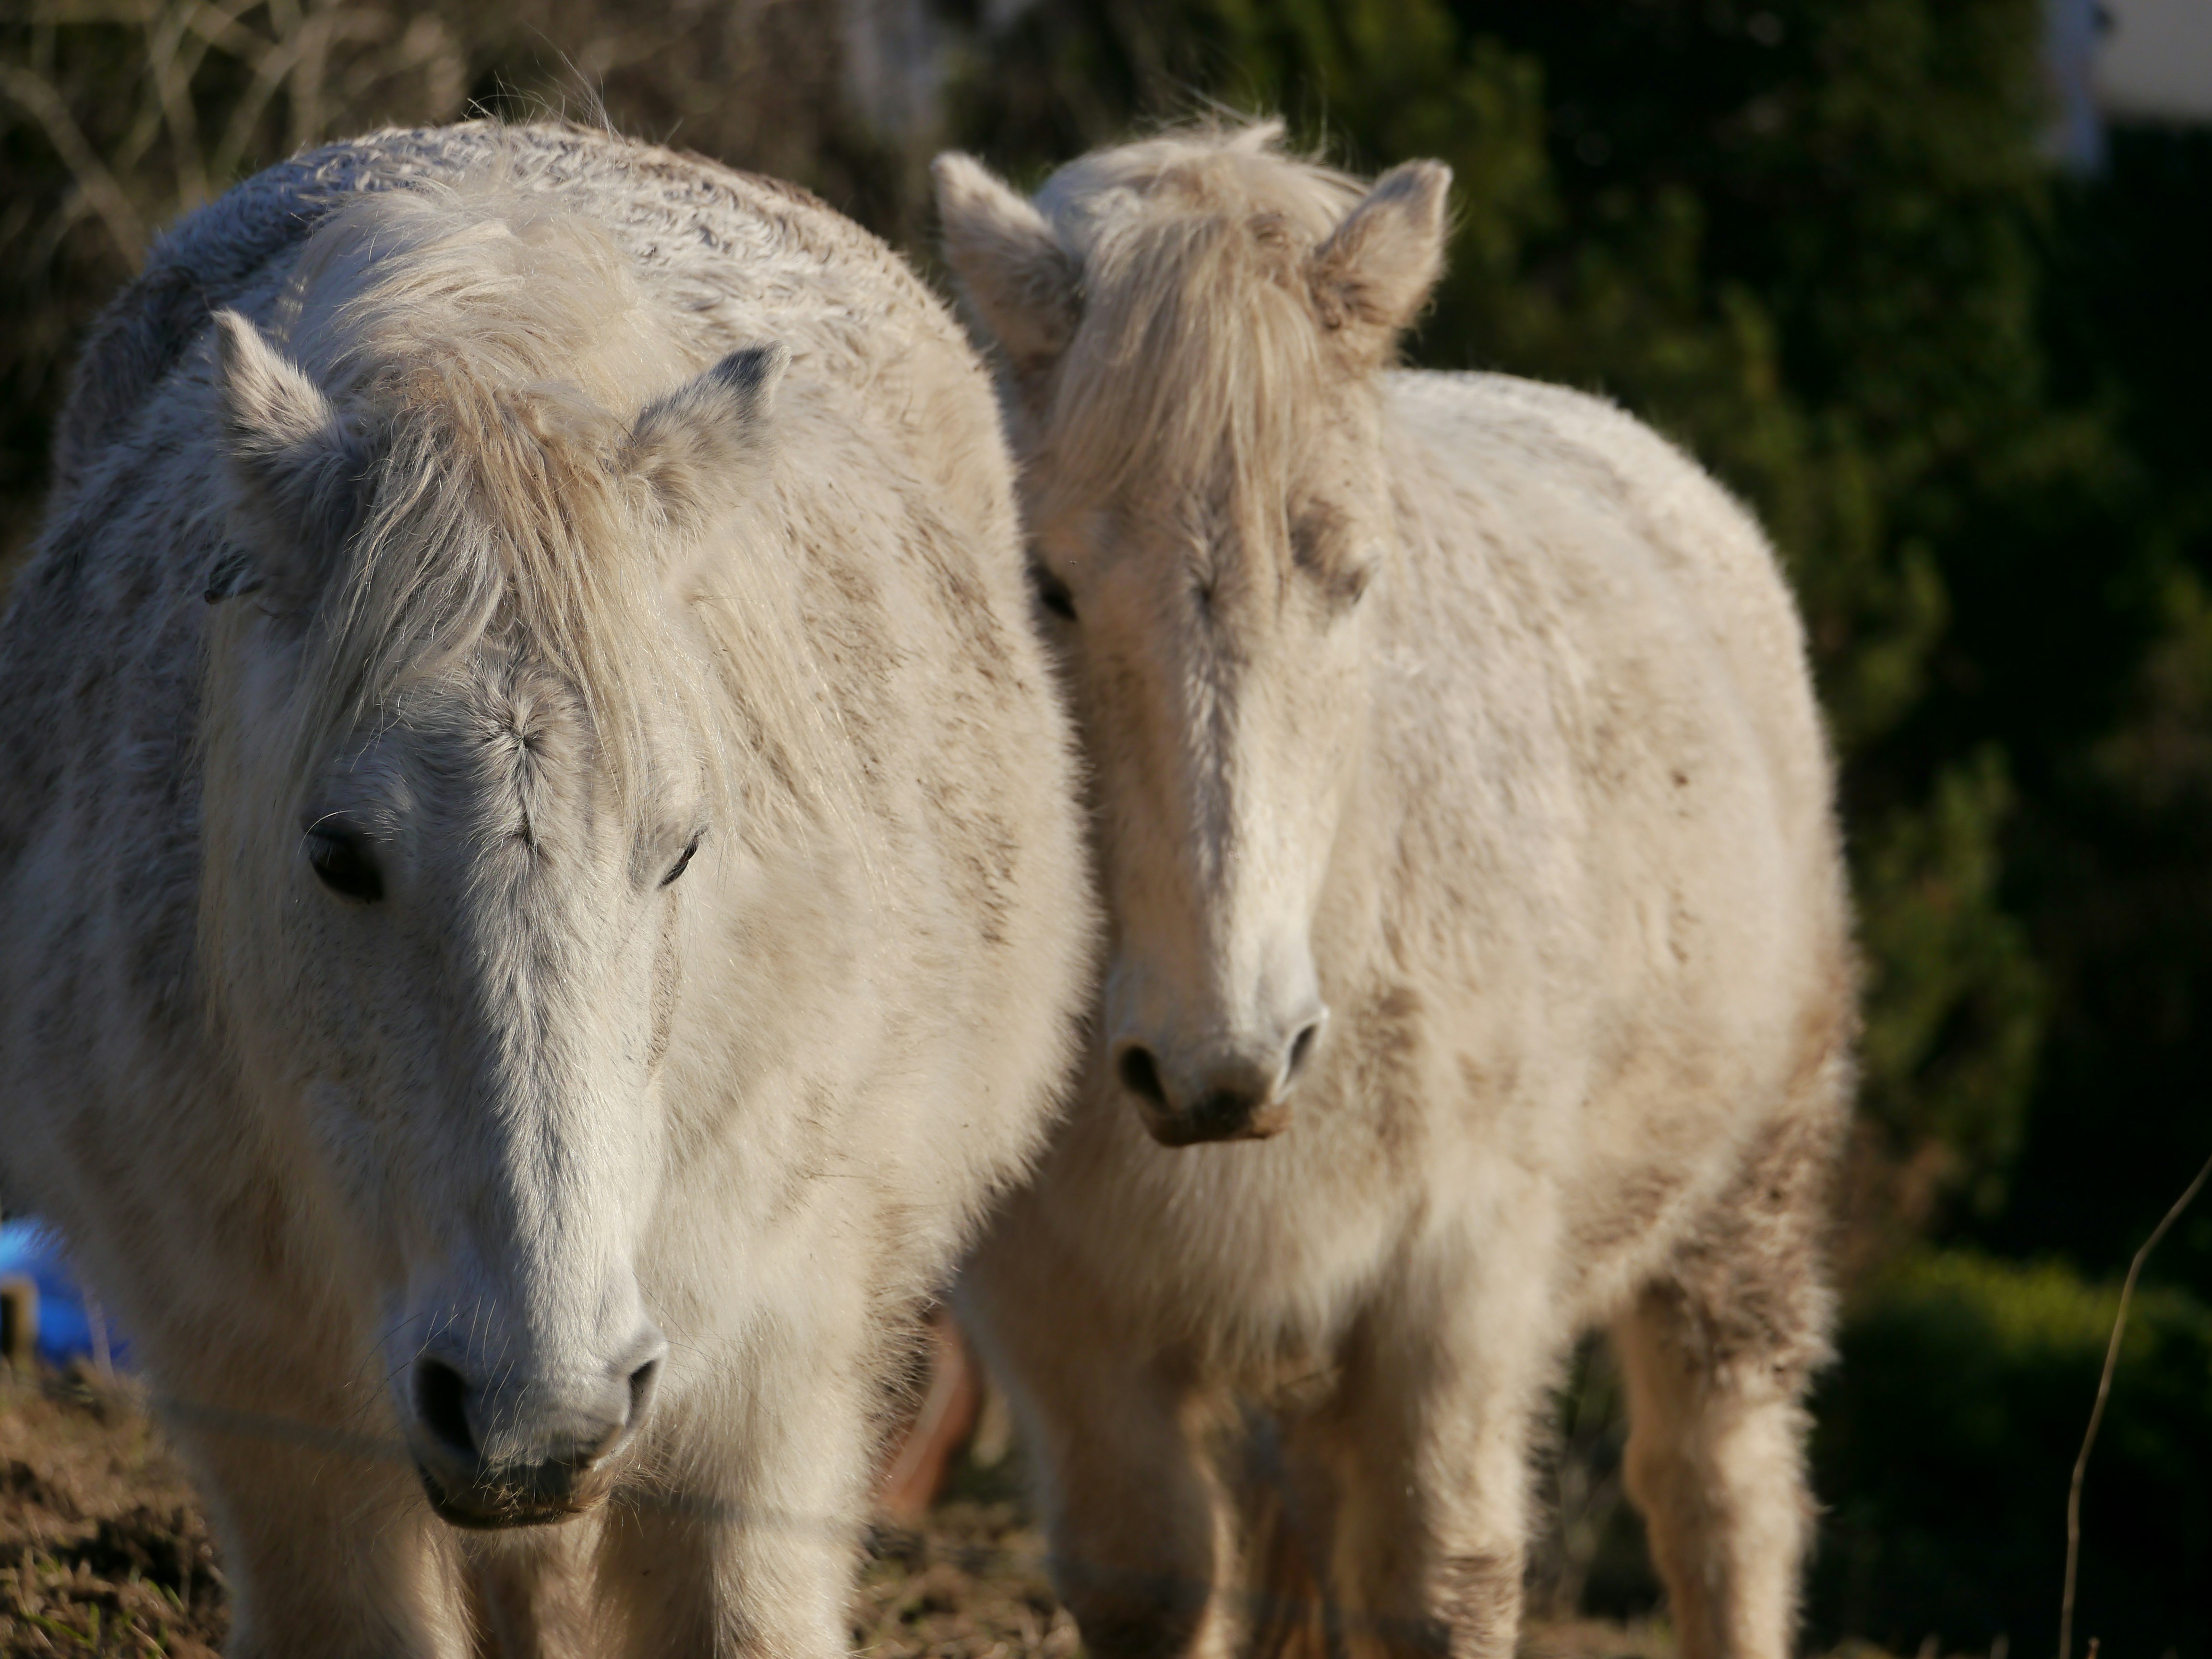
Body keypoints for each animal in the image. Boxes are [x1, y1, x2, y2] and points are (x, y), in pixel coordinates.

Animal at [933, 122, 1856, 1659]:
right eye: (1048, 589)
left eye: (1353, 580)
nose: (1226, 1060)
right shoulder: (1065, 1321)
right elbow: (1148, 1573)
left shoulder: (1457, 1290)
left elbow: (1441, 1582)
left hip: (1745, 1208)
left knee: (1717, 1497)